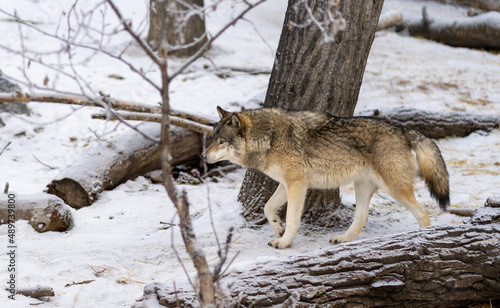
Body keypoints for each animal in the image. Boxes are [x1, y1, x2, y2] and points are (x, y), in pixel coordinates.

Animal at [201, 107, 452, 249]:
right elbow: (268, 208)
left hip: (395, 189)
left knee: (423, 212)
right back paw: (342, 239)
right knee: (361, 217)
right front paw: (278, 230)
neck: (269, 138)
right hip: (363, 187)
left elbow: (292, 218)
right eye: (213, 138)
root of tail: (402, 129)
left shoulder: (297, 185)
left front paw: (285, 241)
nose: (203, 156)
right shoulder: (287, 183)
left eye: (221, 141)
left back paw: (422, 237)